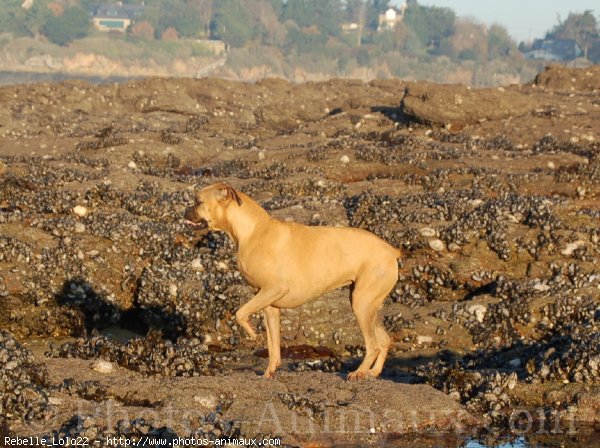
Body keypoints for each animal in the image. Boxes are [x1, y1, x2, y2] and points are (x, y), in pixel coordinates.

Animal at [182, 182, 398, 378]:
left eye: (198, 202)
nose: (184, 211)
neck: (252, 230)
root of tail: (391, 251)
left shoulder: (273, 290)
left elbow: (240, 314)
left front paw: (253, 335)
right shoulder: (269, 305)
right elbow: (273, 346)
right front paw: (269, 372)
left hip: (362, 305)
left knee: (373, 345)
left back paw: (359, 373)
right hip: (366, 305)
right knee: (384, 340)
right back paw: (373, 372)